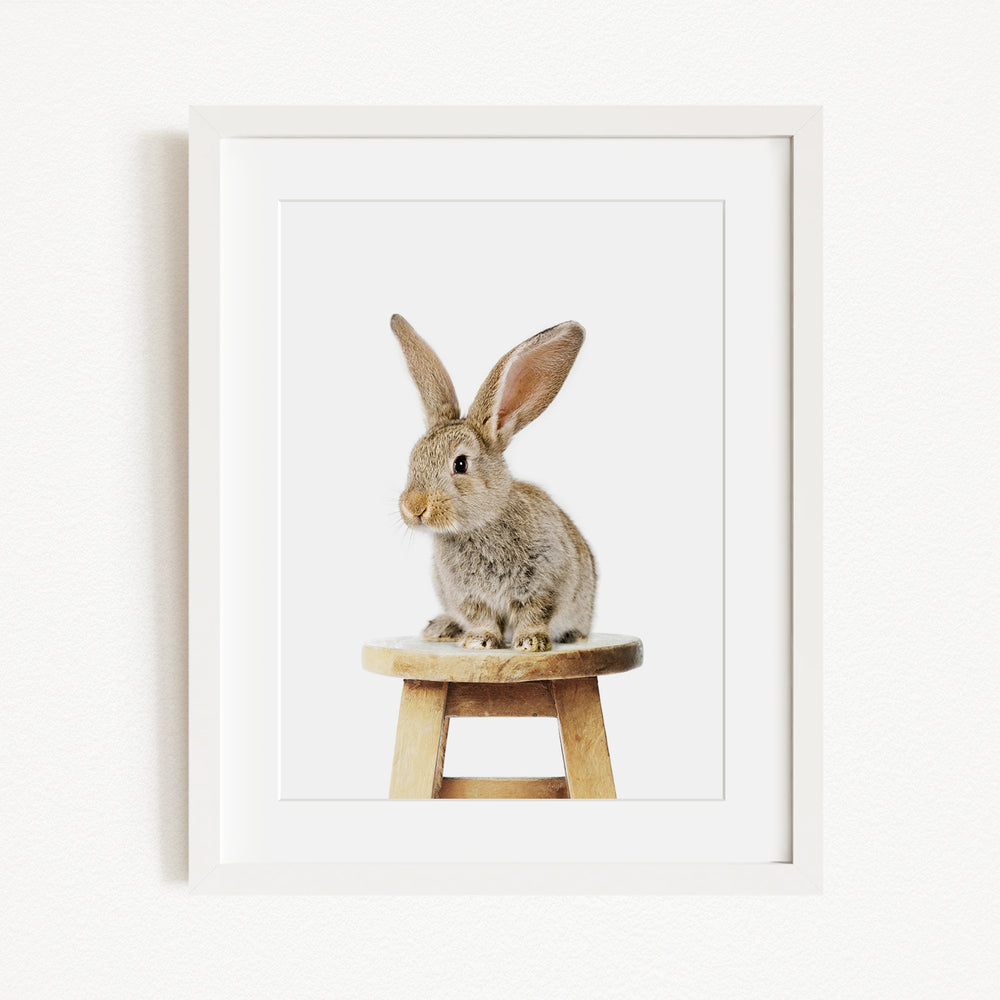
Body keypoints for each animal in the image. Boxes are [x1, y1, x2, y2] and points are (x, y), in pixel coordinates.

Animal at [392, 313, 596, 652]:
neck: (480, 525)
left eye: (460, 464)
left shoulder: (545, 583)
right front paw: (479, 641)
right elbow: (482, 618)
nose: (413, 507)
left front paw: (530, 643)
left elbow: (534, 613)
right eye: (413, 457)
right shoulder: (468, 597)